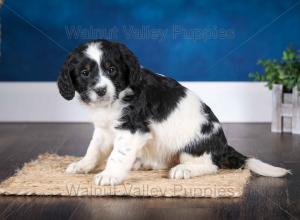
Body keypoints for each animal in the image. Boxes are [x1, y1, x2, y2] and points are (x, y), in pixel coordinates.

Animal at [56, 39, 290, 186]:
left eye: (111, 69)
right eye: (85, 73)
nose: (101, 90)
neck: (113, 100)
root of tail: (223, 146)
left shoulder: (132, 129)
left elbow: (117, 155)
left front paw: (110, 175)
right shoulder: (104, 129)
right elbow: (93, 149)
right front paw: (82, 165)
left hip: (193, 145)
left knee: (210, 165)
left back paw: (184, 170)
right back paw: (141, 163)